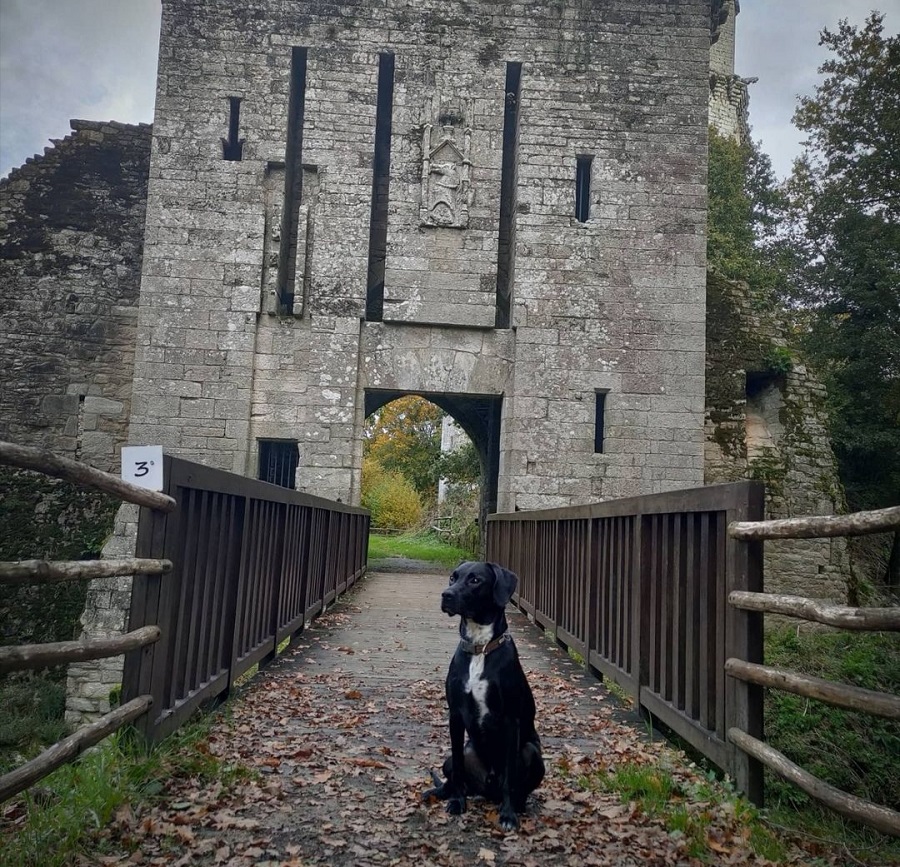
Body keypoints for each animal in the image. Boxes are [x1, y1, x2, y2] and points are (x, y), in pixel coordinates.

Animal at [426, 560, 544, 832]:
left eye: (475, 580)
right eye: (453, 577)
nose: (446, 595)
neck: (480, 648)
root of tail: (488, 791)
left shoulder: (511, 721)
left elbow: (510, 776)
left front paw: (508, 815)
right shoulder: (455, 716)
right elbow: (459, 769)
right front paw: (457, 802)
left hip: (532, 753)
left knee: (516, 787)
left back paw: (516, 806)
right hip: (453, 758)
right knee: (454, 774)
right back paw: (440, 793)